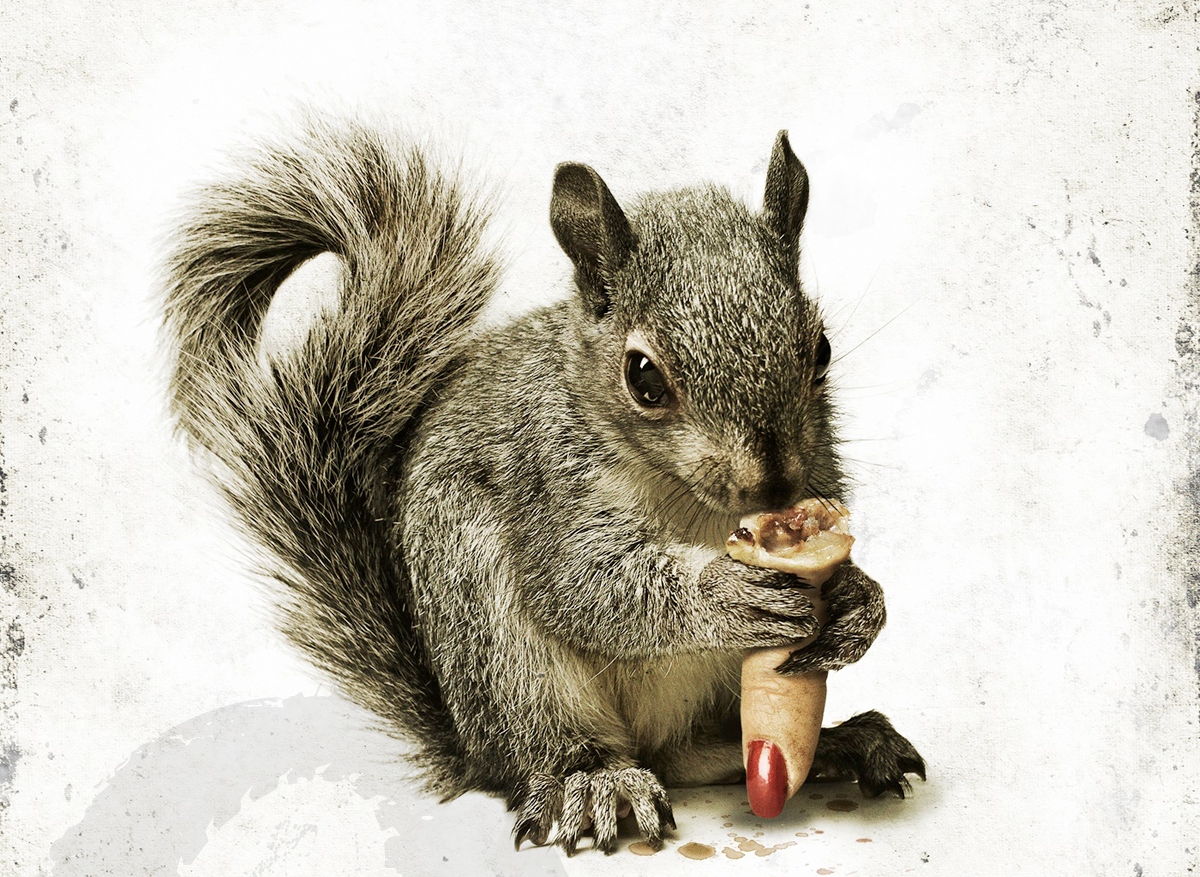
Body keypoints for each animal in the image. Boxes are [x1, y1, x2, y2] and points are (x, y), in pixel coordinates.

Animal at [161, 115, 925, 855]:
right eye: (643, 378)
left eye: (820, 349)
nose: (772, 487)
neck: (695, 506)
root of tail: (475, 748)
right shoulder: (549, 484)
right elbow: (586, 585)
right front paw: (726, 592)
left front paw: (860, 601)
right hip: (498, 640)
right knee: (566, 744)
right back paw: (590, 781)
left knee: (693, 756)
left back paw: (841, 743)